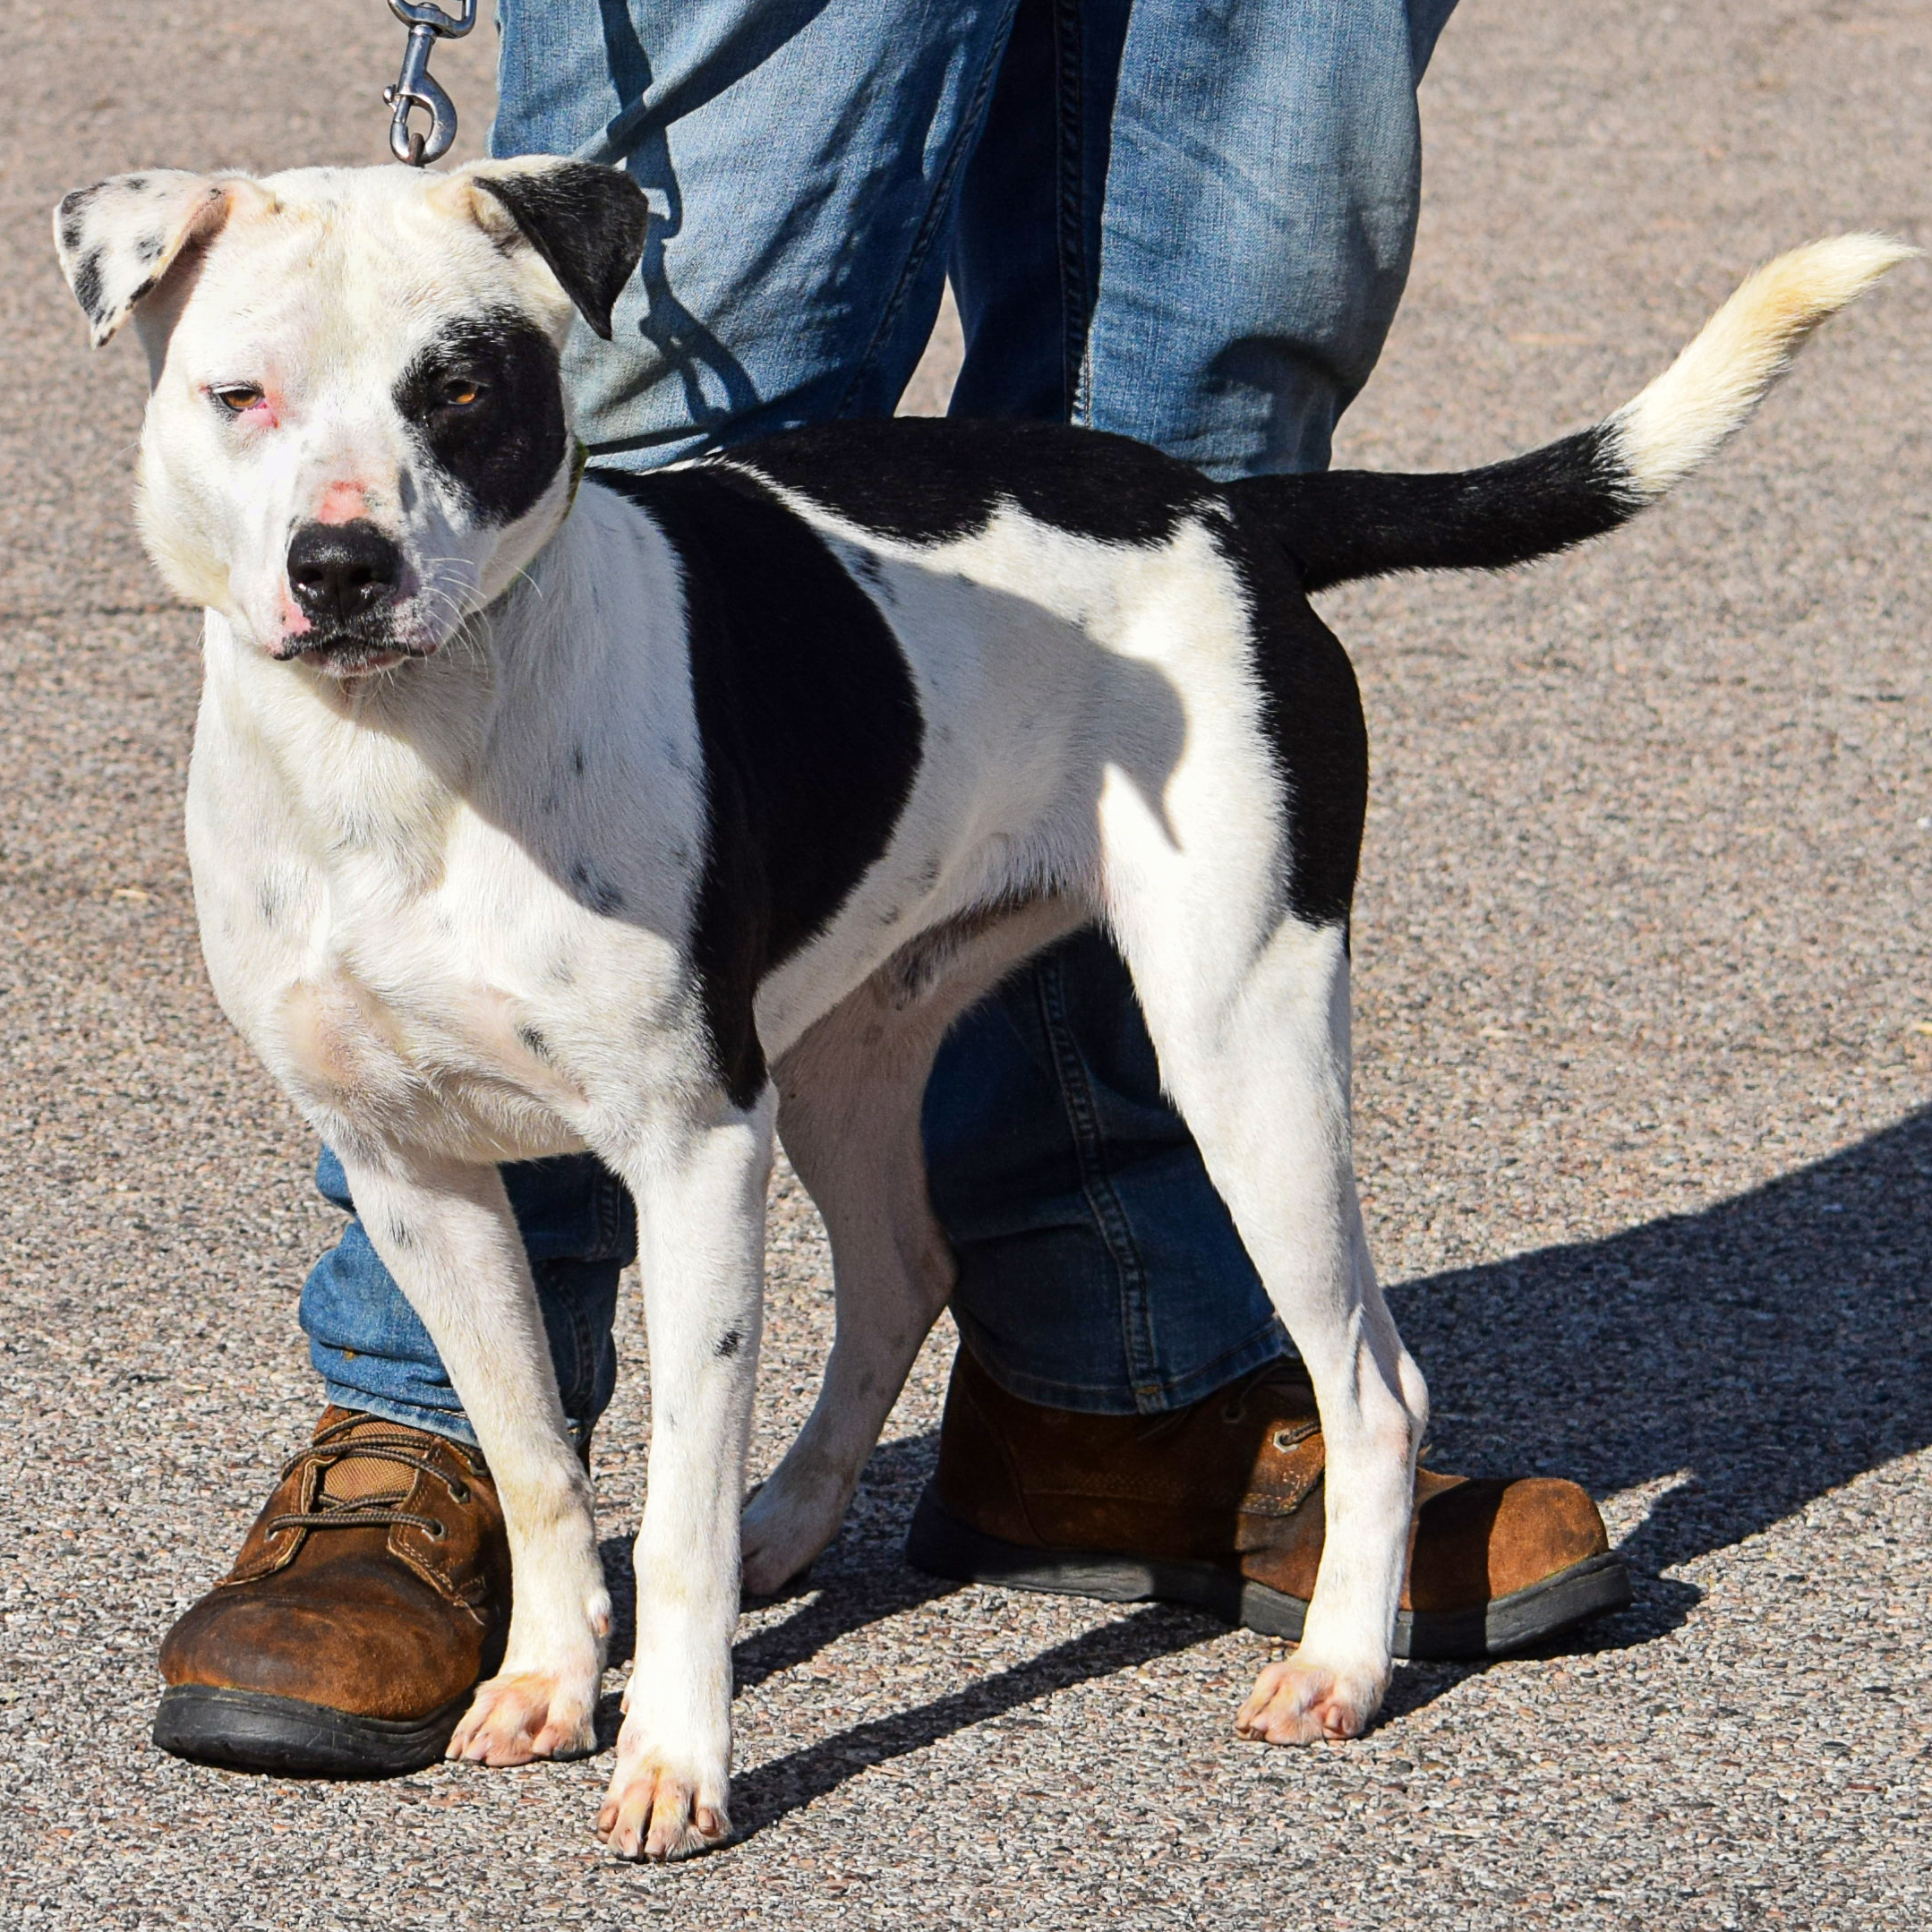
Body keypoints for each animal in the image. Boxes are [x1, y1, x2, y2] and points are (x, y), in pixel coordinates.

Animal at [56, 162, 1901, 1854]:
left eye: (459, 391)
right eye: (239, 394)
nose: (342, 565)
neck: (411, 752)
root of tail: (1227, 511)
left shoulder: (692, 1148)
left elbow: (668, 1515)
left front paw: (676, 1759)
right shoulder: (409, 1166)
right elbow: (533, 1458)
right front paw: (548, 1679)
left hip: (1239, 1043)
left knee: (1370, 1381)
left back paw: (1339, 1660)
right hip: (855, 1052)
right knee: (908, 1270)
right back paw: (795, 1520)